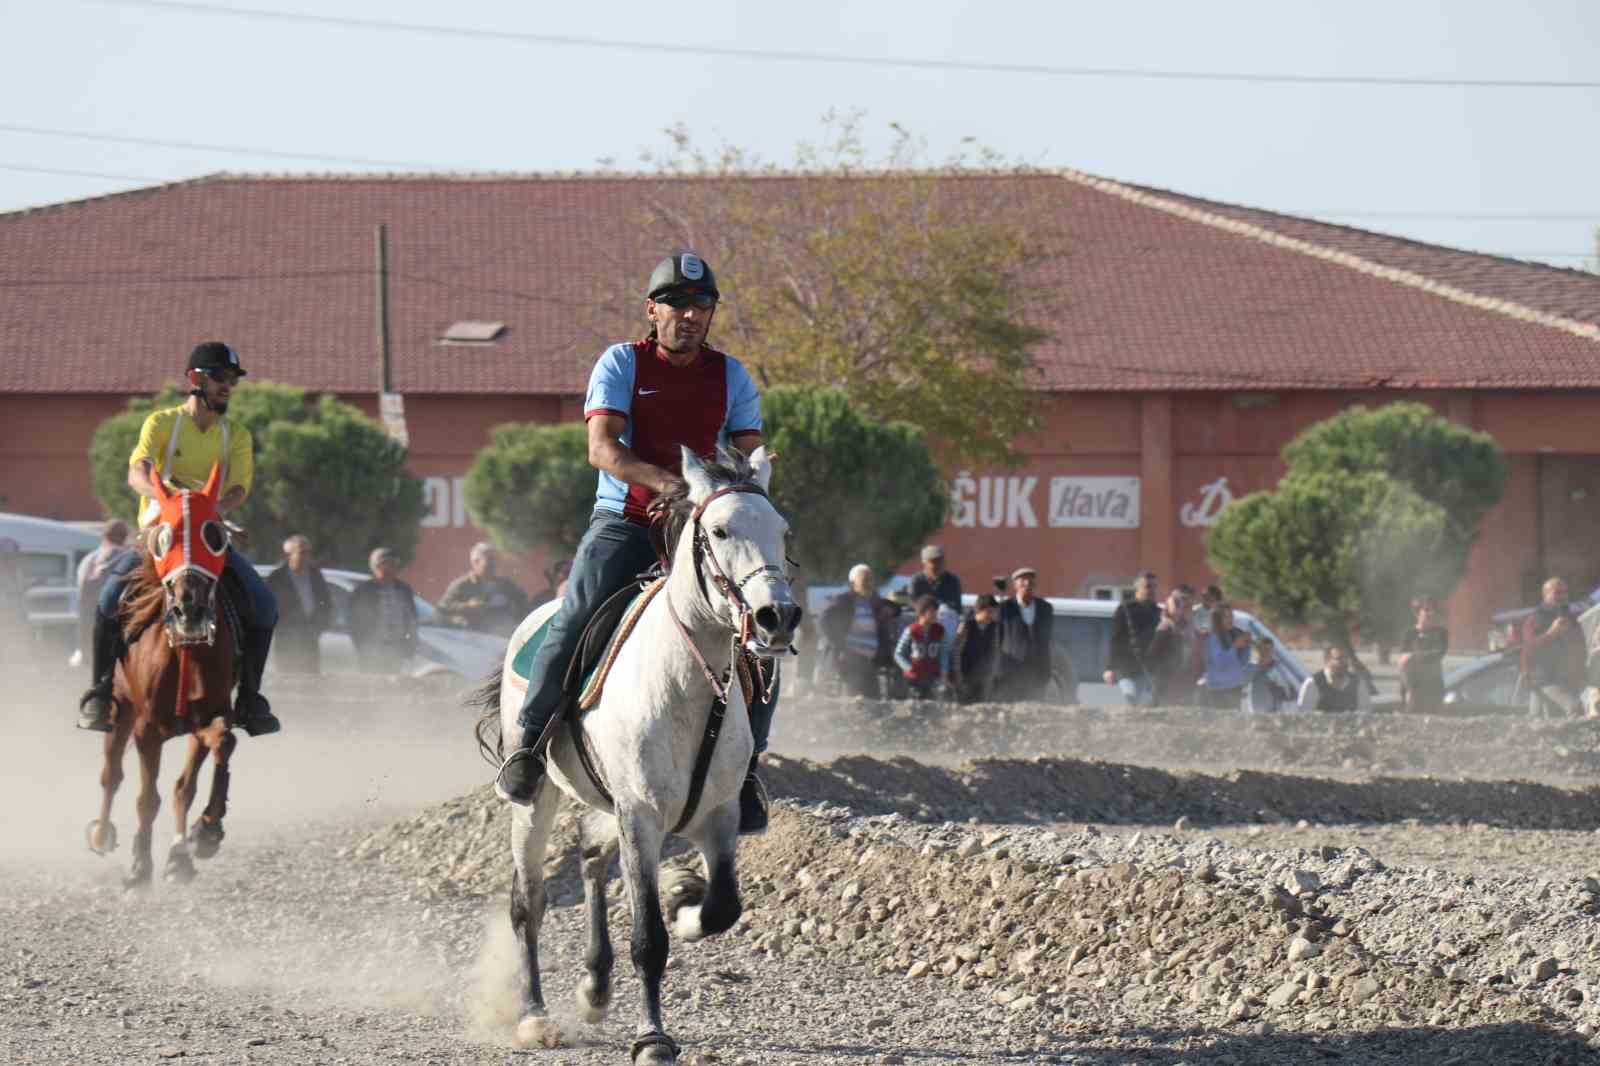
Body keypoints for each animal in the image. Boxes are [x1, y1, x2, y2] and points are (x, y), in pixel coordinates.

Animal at [86, 460, 240, 883]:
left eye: (214, 535)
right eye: (164, 538)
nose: (190, 609)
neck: (184, 648)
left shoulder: (207, 716)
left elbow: (213, 754)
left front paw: (202, 834)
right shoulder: (147, 727)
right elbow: (146, 797)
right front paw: (140, 866)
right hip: (119, 707)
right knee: (111, 774)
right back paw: (101, 833)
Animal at [473, 444, 800, 1056]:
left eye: (784, 532)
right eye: (718, 531)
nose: (777, 617)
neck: (690, 688)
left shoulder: (718, 816)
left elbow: (723, 908)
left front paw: (685, 903)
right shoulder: (642, 816)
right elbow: (649, 939)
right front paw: (652, 1038)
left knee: (591, 857)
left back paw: (595, 987)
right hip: (538, 802)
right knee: (529, 902)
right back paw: (534, 1016)